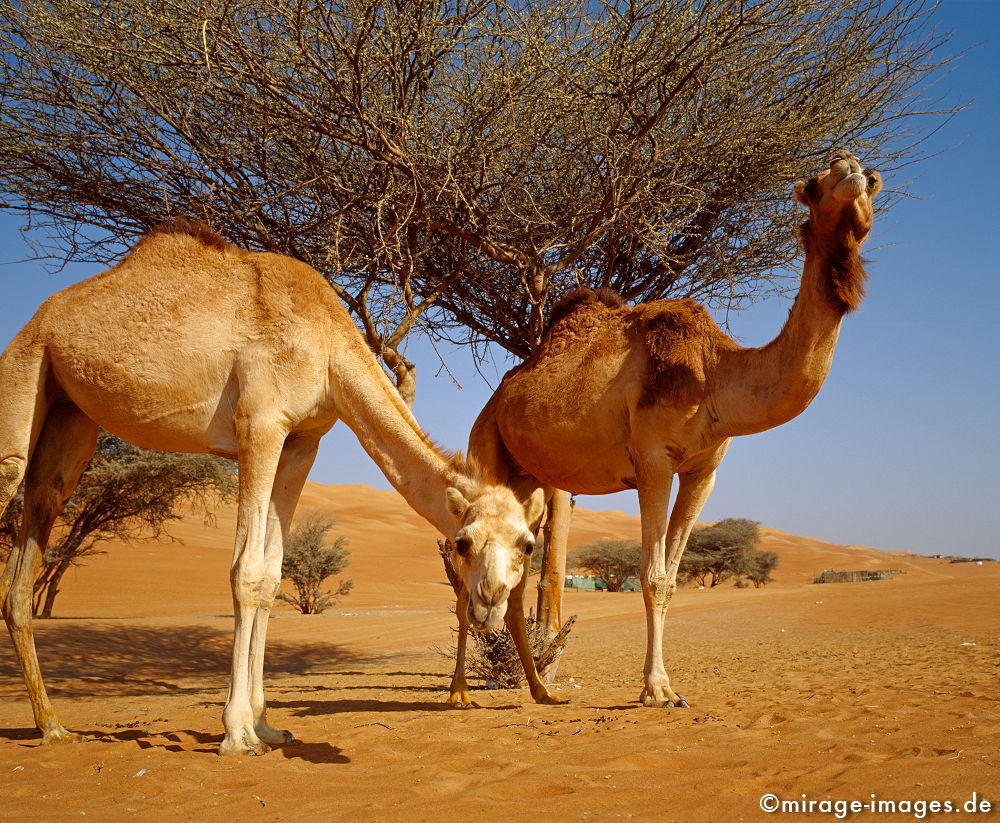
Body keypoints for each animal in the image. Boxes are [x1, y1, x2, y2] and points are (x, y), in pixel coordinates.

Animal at [0, 220, 544, 760]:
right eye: (463, 543)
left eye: (526, 545)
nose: (491, 600)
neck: (327, 346)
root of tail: (39, 320)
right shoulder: (259, 424)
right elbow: (246, 571)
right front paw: (238, 733)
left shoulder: (303, 440)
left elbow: (271, 575)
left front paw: (266, 725)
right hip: (23, 371)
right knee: (12, 474)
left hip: (69, 411)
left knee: (36, 525)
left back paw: (53, 726)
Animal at [448, 153, 884, 708]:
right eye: (815, 184)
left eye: (874, 182)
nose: (851, 170)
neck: (714, 374)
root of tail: (496, 399)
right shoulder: (653, 461)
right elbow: (652, 576)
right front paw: (657, 689)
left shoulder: (704, 470)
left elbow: (674, 579)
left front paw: (664, 685)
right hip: (485, 445)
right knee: (467, 569)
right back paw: (460, 691)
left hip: (531, 480)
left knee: (518, 570)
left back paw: (542, 691)